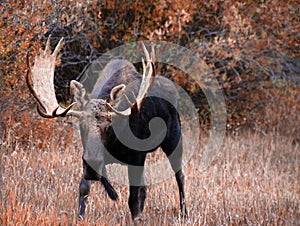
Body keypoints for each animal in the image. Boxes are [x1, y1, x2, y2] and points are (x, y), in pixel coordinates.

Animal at [26, 37, 185, 221]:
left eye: (109, 125)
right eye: (81, 125)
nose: (92, 163)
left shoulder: (137, 157)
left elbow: (133, 200)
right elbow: (84, 188)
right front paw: (82, 215)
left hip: (174, 138)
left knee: (180, 175)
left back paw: (184, 212)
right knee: (146, 187)